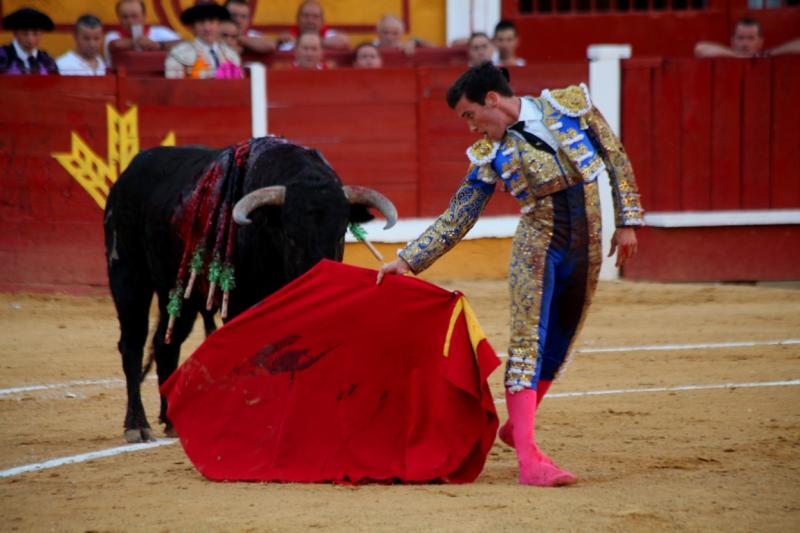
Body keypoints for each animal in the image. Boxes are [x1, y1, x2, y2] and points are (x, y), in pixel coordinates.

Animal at [103, 137, 396, 440]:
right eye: (290, 235)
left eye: (340, 234)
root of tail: (127, 174)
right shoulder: (239, 305)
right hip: (128, 277)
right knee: (132, 345)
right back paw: (137, 425)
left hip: (180, 291)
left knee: (165, 342)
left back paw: (170, 420)